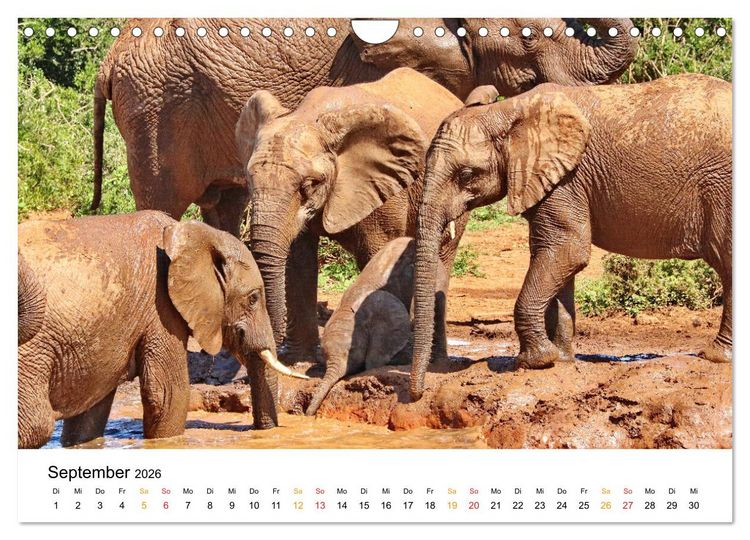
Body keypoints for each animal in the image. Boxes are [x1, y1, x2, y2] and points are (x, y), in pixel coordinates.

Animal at [18, 211, 307, 448]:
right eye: (254, 298)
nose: (257, 431)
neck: (188, 234)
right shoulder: (160, 309)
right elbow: (168, 395)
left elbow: (90, 414)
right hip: (30, 351)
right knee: (35, 425)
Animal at [235, 67, 467, 362]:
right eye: (249, 180)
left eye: (309, 185)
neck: (311, 115)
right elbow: (298, 260)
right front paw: (301, 360)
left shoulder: (386, 189)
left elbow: (378, 255)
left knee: (442, 258)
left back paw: (434, 359)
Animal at [409, 73, 732, 401]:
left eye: (465, 175)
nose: (416, 396)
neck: (508, 112)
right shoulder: (553, 181)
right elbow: (555, 256)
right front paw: (562, 360)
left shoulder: (567, 180)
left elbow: (568, 250)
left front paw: (534, 361)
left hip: (722, 185)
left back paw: (716, 356)